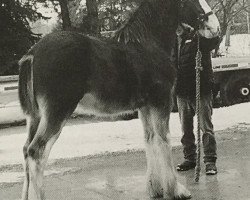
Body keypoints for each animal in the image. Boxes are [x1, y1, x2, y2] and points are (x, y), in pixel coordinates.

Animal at [19, 0, 219, 198]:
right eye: (189, 1)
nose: (215, 27)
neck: (148, 45)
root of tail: (33, 53)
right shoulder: (161, 102)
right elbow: (163, 140)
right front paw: (176, 190)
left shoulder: (145, 107)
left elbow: (150, 139)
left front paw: (156, 189)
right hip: (57, 113)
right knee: (36, 152)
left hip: (36, 117)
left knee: (26, 151)